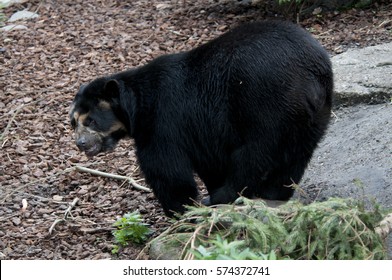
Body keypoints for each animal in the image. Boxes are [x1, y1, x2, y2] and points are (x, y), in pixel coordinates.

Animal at [69, 20, 332, 218]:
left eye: (91, 120)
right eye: (73, 122)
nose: (80, 143)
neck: (138, 107)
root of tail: (310, 78)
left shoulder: (163, 121)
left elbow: (166, 169)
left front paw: (180, 209)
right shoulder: (200, 129)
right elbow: (208, 162)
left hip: (265, 106)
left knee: (253, 156)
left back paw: (222, 197)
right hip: (314, 116)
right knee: (295, 156)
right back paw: (274, 194)